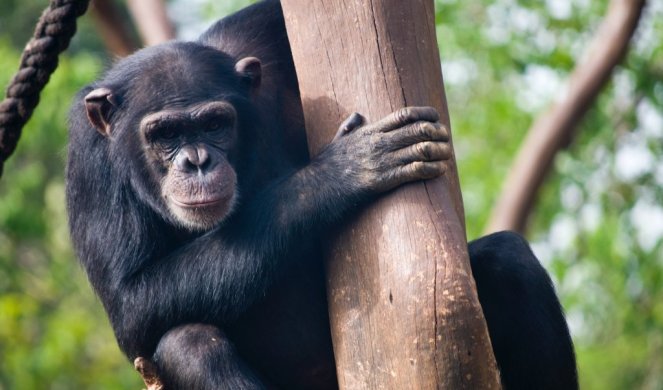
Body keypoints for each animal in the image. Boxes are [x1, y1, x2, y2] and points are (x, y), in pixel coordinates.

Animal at [65, 0, 580, 390]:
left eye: (214, 123)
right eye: (166, 134)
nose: (196, 161)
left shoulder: (257, 39)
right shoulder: (88, 163)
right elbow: (131, 301)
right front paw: (340, 172)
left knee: (508, 260)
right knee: (188, 345)